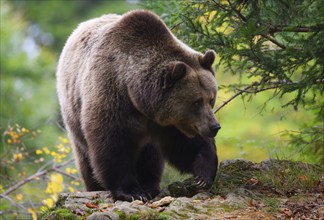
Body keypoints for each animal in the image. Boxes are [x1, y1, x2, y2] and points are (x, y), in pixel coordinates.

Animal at [57, 9, 221, 203]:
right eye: (196, 102)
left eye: (211, 99)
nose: (215, 127)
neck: (136, 95)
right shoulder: (111, 93)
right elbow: (112, 143)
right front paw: (131, 191)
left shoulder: (168, 121)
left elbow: (184, 143)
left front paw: (203, 174)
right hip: (73, 115)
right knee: (86, 158)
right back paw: (96, 186)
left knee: (150, 155)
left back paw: (150, 185)